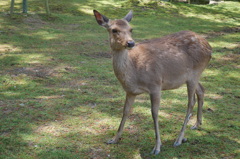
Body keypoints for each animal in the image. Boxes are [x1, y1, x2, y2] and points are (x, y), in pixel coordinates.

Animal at [94, 9, 212, 155]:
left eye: (131, 29)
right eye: (114, 30)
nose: (130, 43)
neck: (134, 73)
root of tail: (209, 47)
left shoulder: (155, 85)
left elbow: (154, 113)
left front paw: (157, 147)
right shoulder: (130, 91)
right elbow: (125, 111)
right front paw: (114, 139)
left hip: (195, 73)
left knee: (190, 102)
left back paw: (179, 139)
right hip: (192, 77)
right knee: (201, 90)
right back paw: (197, 124)